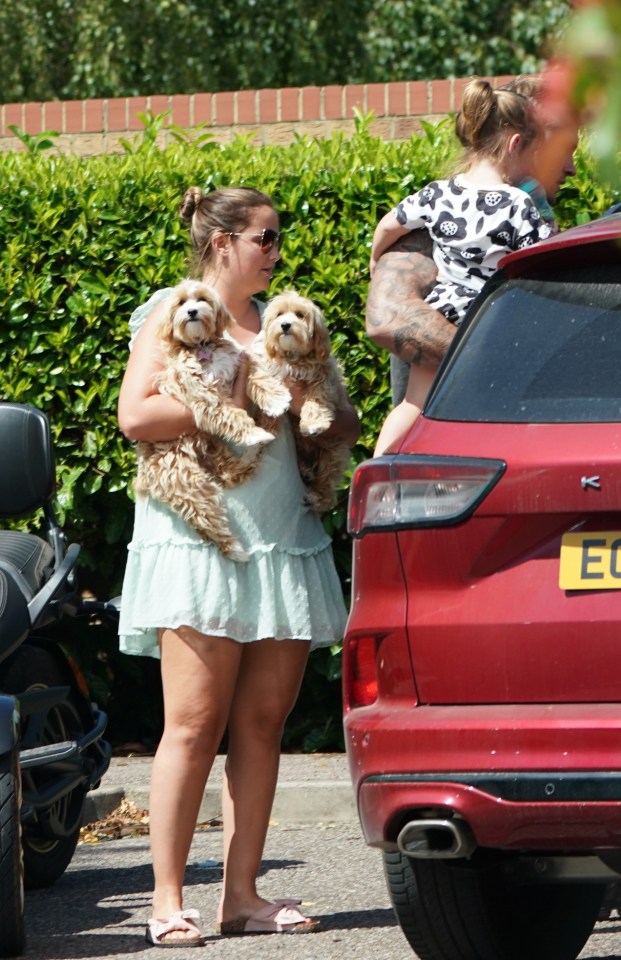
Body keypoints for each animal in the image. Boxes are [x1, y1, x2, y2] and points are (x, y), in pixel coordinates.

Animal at [134, 282, 290, 560]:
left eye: (203, 299)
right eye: (181, 302)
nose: (192, 311)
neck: (201, 346)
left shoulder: (238, 363)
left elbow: (257, 376)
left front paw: (276, 399)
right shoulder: (201, 392)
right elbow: (227, 412)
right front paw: (251, 431)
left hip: (215, 452)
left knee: (233, 471)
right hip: (185, 481)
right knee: (205, 517)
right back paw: (235, 549)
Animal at [252, 290, 348, 512]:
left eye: (299, 314)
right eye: (279, 314)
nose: (285, 325)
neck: (293, 357)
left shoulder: (324, 378)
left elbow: (317, 400)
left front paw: (313, 423)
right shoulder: (274, 373)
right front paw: (267, 425)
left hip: (333, 454)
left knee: (327, 485)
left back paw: (318, 497)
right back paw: (305, 470)